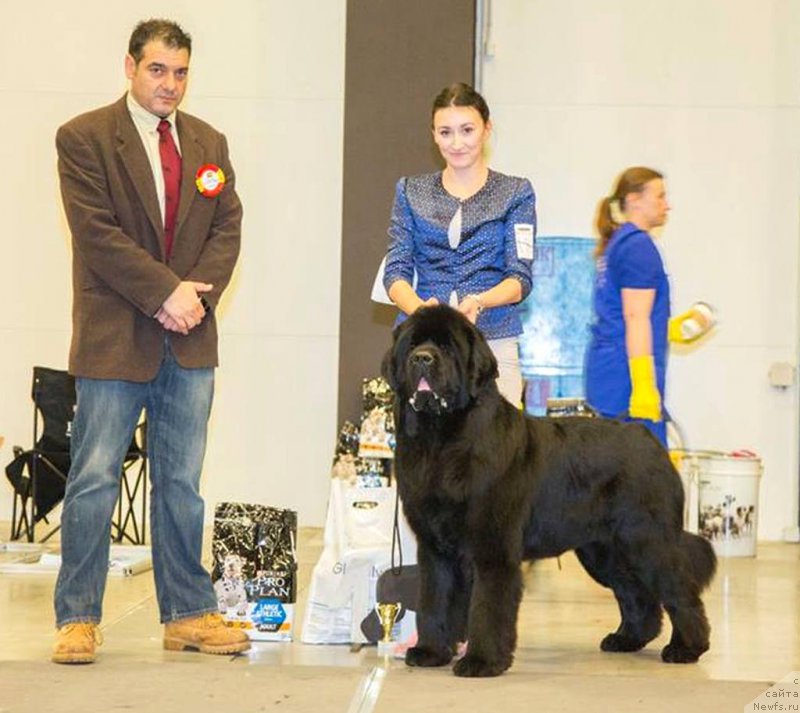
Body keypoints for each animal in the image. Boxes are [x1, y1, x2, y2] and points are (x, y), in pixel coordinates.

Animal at [382, 304, 720, 676]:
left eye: (447, 347)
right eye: (414, 344)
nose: (423, 358)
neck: (442, 440)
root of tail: (649, 440)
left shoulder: (493, 547)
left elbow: (487, 607)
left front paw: (482, 662)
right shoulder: (435, 548)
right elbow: (434, 600)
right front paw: (430, 652)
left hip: (647, 539)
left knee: (680, 589)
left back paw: (686, 648)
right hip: (604, 551)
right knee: (637, 594)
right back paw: (626, 639)